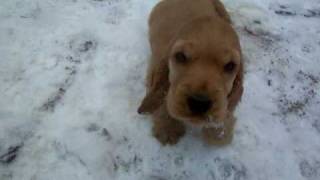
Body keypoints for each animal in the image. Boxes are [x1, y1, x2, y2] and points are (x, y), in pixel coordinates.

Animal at [138, 0, 242, 146]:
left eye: (230, 66)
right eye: (180, 56)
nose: (199, 103)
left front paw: (218, 133)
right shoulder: (154, 68)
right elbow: (162, 93)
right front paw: (168, 128)